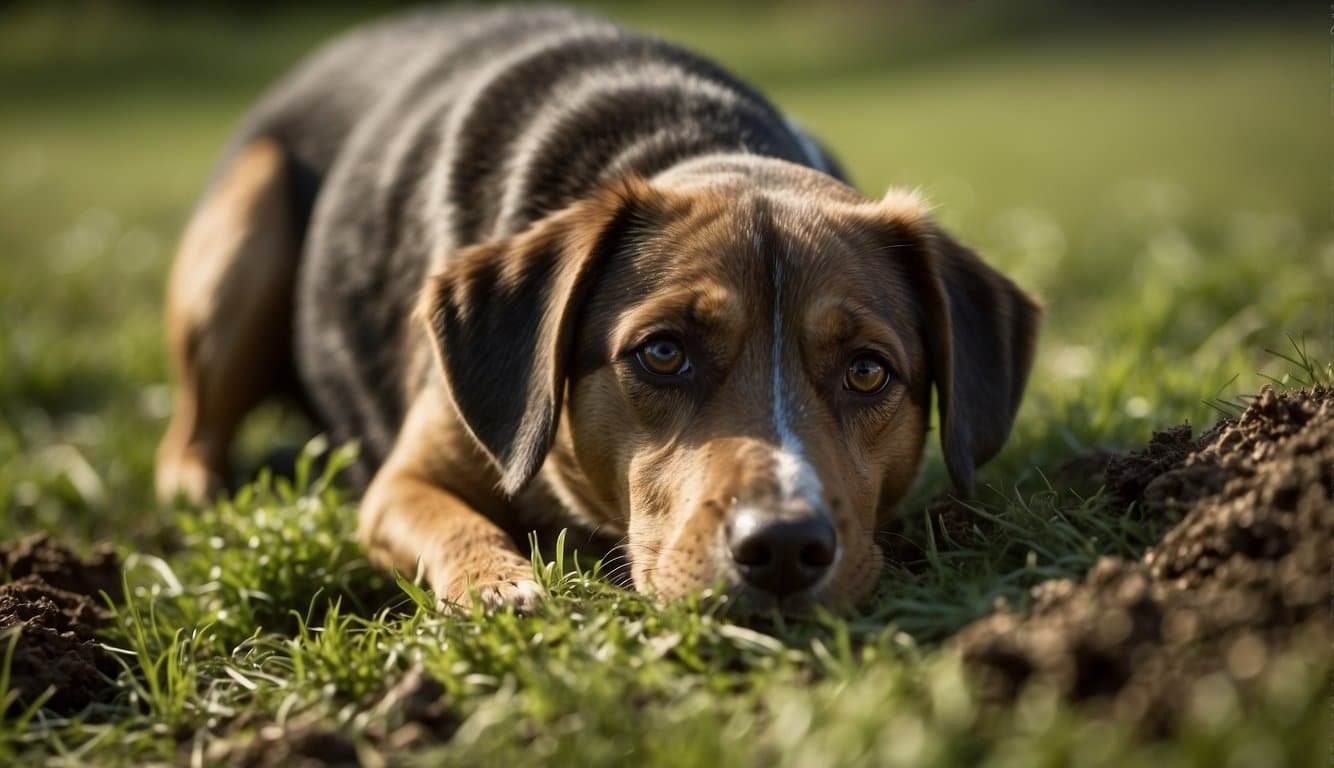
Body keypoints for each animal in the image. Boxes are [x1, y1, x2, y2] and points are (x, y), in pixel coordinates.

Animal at [153, 7, 1029, 613]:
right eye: (663, 352)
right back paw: (198, 486)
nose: (782, 547)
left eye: (868, 371)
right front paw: (498, 584)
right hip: (251, 212)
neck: (689, 141)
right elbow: (458, 526)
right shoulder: (399, 483)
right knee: (189, 429)